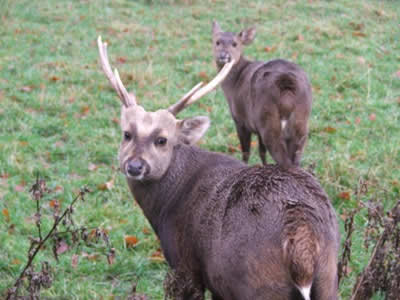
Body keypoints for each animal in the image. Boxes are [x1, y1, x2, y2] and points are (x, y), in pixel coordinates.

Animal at [98, 35, 340, 300]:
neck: (164, 206)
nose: (135, 166)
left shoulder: (185, 266)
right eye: (127, 134)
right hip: (329, 277)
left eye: (162, 140)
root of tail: (302, 237)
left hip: (257, 285)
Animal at [212, 20, 312, 169]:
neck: (234, 84)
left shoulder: (240, 120)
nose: (224, 56)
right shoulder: (257, 127)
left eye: (235, 43)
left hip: (268, 120)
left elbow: (246, 151)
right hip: (301, 124)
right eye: (217, 42)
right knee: (295, 159)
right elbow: (261, 152)